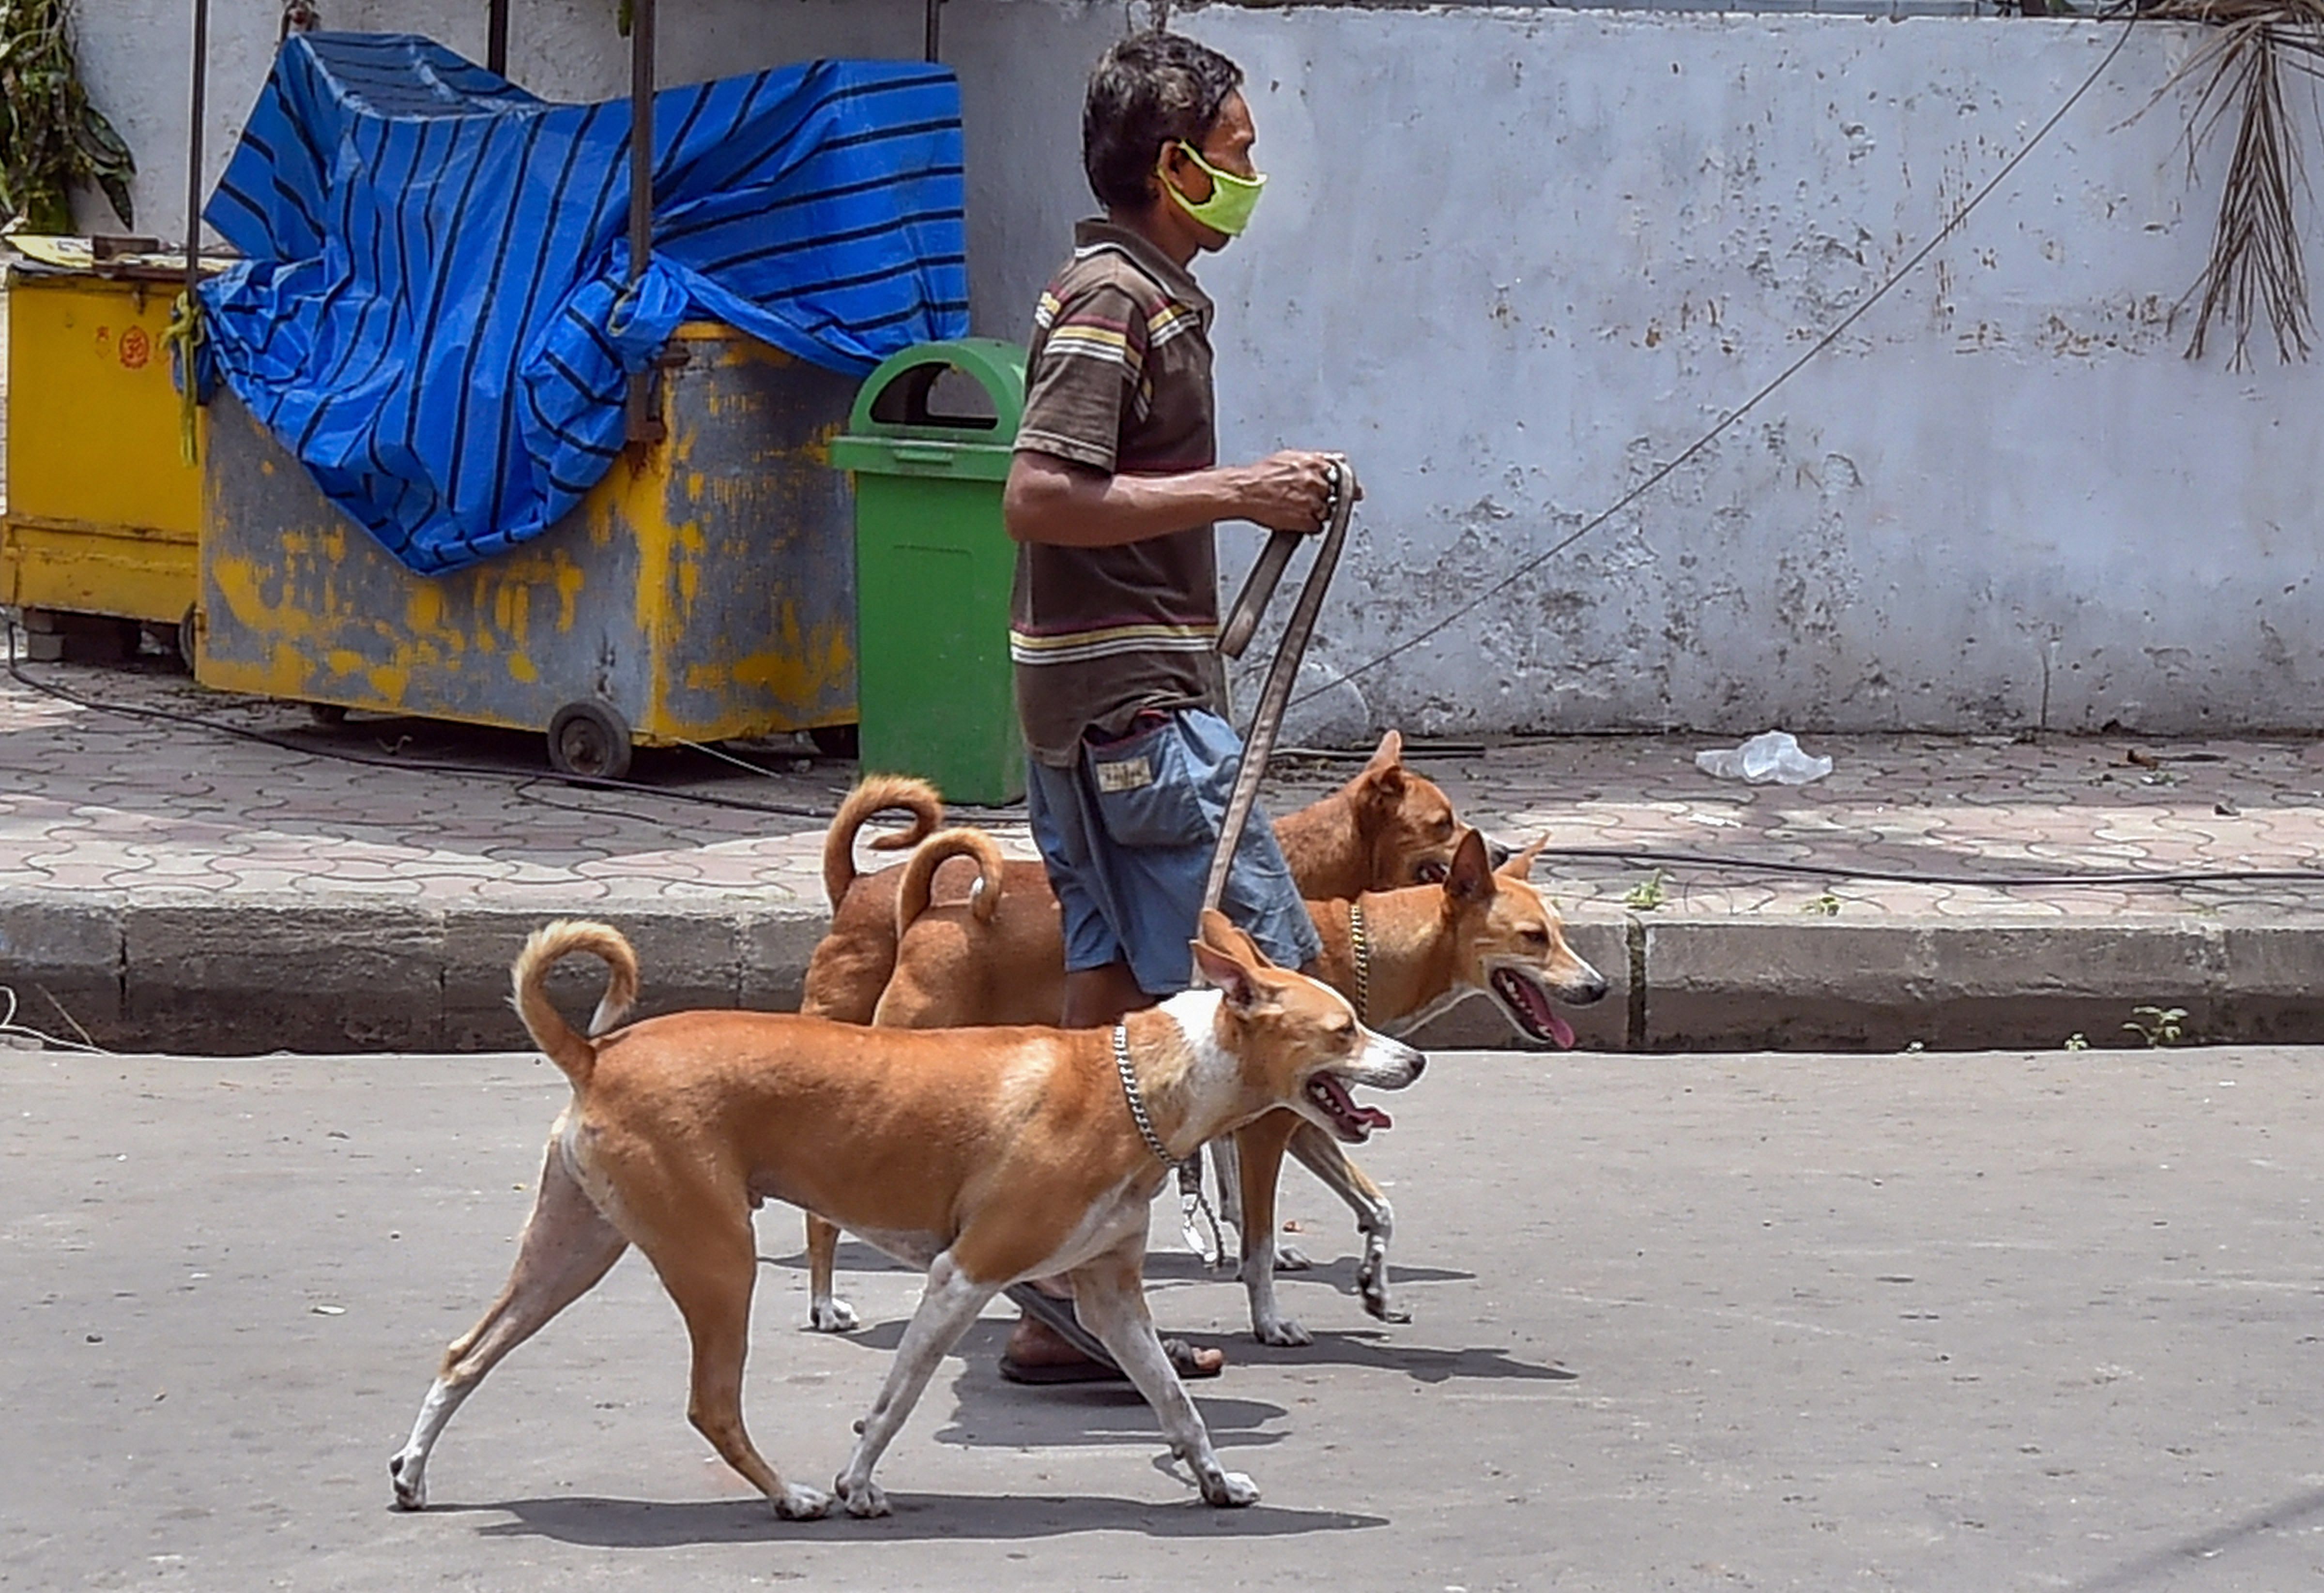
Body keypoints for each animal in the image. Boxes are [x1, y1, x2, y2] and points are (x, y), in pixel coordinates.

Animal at [390, 911, 1422, 1507]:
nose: (1413, 1059)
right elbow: (896, 1400)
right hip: (716, 1262)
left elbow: (1177, 1404)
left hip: (573, 1252)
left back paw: (412, 1471)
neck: (1135, 1084)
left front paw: (1210, 1480)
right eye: (1344, 1029)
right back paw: (794, 1495)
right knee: (710, 1406)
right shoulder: (962, 1274)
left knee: (463, 1357)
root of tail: (596, 1052)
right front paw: (856, 1483)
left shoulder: (1111, 1297)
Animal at [827, 827, 1608, 1339]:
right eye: (1534, 937)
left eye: (1563, 931)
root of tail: (928, 909)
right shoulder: (1269, 1132)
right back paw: (828, 1302)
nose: (1598, 987)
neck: (1358, 947)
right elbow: (1258, 1241)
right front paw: (1270, 1318)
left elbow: (1375, 1207)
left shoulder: (1304, 1119)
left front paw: (1375, 1287)